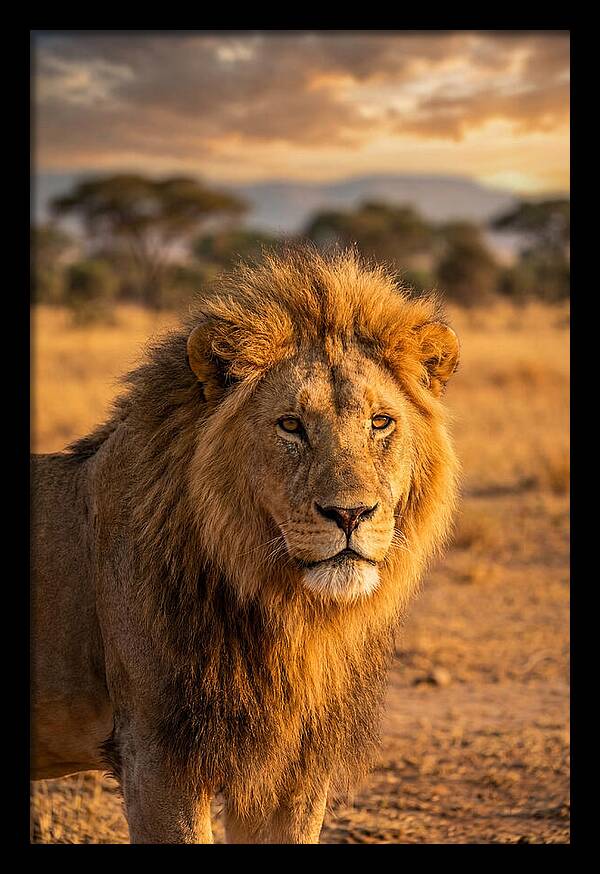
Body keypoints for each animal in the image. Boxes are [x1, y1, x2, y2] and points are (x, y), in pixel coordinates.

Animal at [31, 245, 460, 843]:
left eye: (381, 422)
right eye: (291, 425)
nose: (350, 514)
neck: (289, 615)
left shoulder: (293, 769)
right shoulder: (157, 757)